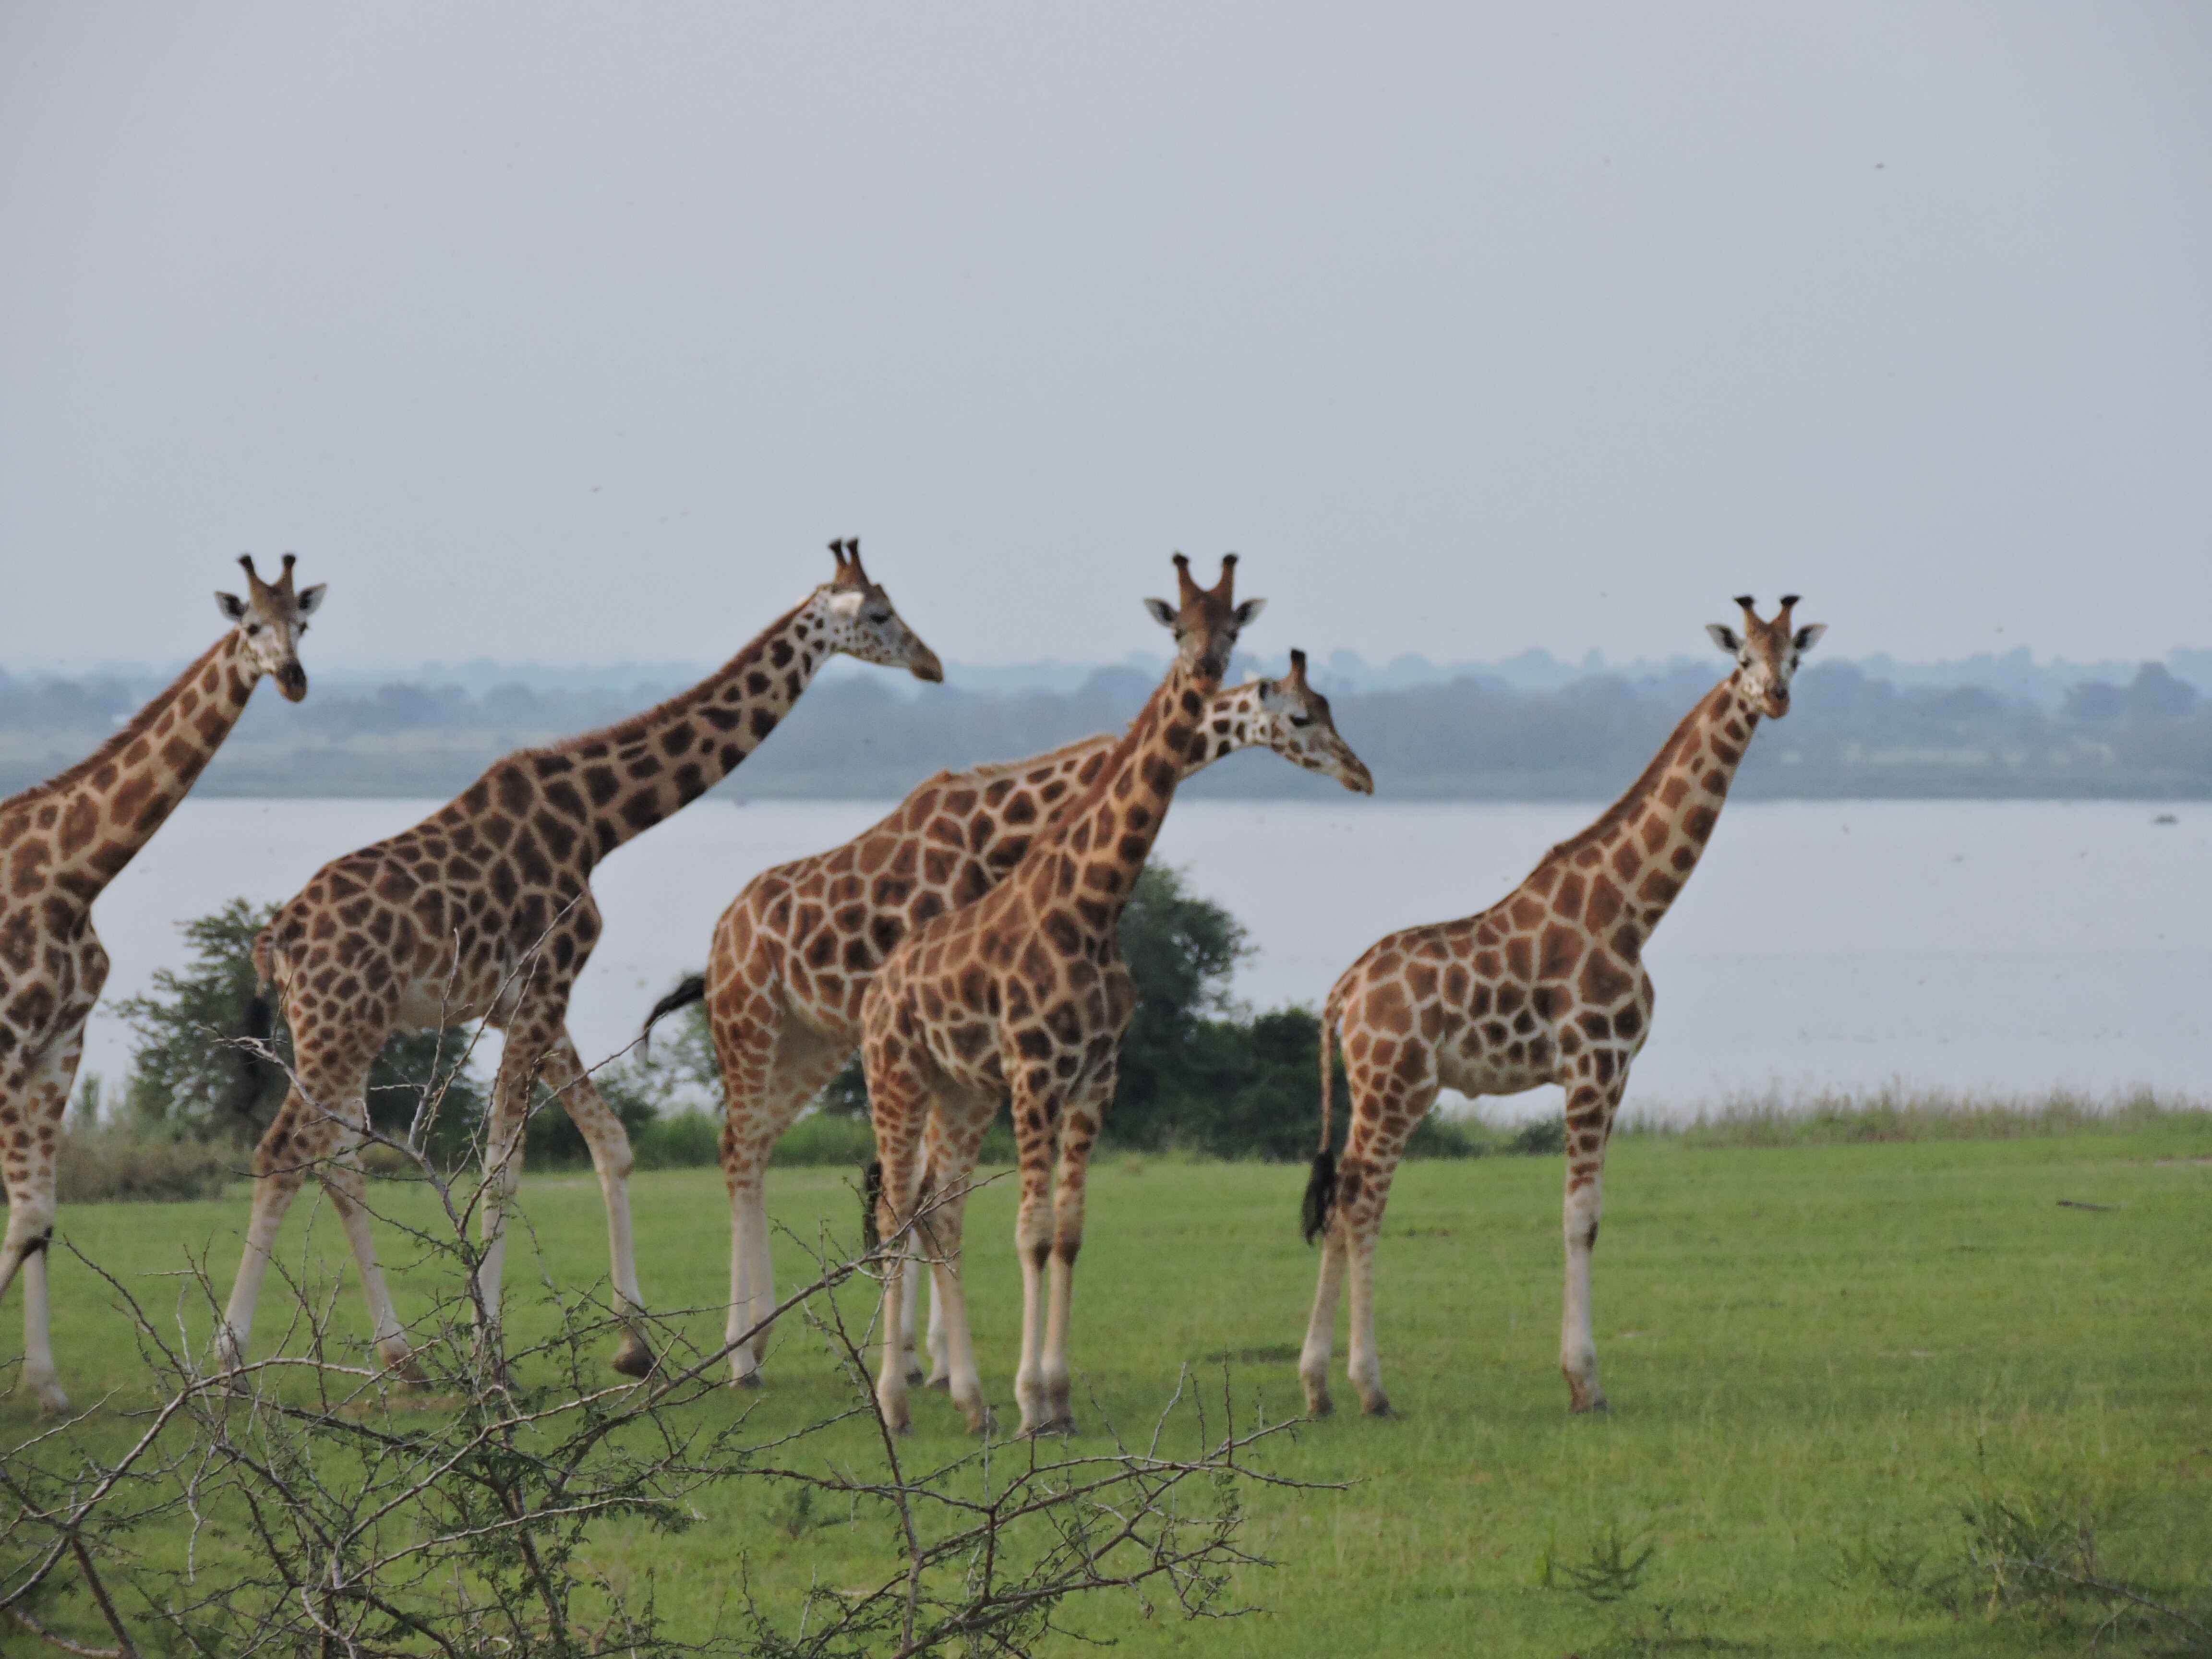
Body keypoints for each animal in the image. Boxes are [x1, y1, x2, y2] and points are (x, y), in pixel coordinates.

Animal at [0, 559, 327, 1416]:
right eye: (250, 624)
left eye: (304, 624)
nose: (292, 679)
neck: (72, 879)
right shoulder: (9, 1039)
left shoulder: (61, 1043)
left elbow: (36, 1215)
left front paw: (45, 1388)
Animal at [208, 540, 933, 1380]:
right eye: (878, 614)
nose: (931, 664)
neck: (596, 819)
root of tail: (277, 939)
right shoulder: (548, 980)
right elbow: (504, 1165)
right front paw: (490, 1346)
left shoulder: (523, 1001)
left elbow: (609, 1143)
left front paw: (633, 1341)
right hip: (339, 1026)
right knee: (283, 1155)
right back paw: (229, 1360)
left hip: (335, 1029)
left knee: (336, 1161)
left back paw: (399, 1356)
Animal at [632, 650, 1371, 1389]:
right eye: (1301, 717)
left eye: (1330, 708)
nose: (1360, 775)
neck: (1010, 831)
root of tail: (719, 939)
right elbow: (923, 1192)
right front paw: (922, 1361)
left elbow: (930, 1192)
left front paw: (926, 1359)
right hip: (750, 1022)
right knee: (738, 1151)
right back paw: (740, 1355)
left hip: (807, 1043)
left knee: (753, 1145)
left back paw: (757, 1340)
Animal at [854, 553, 1265, 1433]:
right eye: (1177, 626)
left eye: (1232, 626)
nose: (1208, 667)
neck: (1096, 905)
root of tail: (877, 990)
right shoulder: (1036, 1074)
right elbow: (1031, 1233)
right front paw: (1031, 1404)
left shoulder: (1092, 1079)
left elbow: (1068, 1233)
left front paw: (1057, 1397)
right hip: (896, 1078)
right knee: (895, 1212)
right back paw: (895, 1402)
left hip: (961, 1092)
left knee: (939, 1215)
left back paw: (968, 1403)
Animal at [1292, 597, 1814, 1416]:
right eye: (1742, 661)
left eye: (1795, 656)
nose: (1777, 698)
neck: (1633, 911)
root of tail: (1342, 994)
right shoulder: (1595, 1065)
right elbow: (1582, 1218)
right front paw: (1585, 1383)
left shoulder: (1619, 1071)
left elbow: (1587, 1215)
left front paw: (1580, 1377)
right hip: (1395, 1087)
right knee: (1362, 1204)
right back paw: (1369, 1388)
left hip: (1380, 1090)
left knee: (1343, 1200)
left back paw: (1318, 1390)